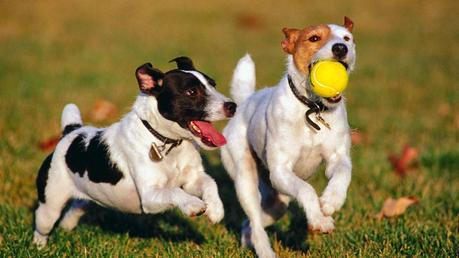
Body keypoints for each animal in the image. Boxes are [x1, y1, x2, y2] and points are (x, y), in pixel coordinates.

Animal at [33, 57, 237, 248]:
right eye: (192, 92)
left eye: (213, 84)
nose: (232, 106)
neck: (168, 143)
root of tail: (71, 131)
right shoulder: (150, 196)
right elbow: (174, 191)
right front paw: (193, 204)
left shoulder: (191, 180)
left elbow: (210, 183)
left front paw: (216, 209)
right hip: (50, 205)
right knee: (42, 225)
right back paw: (39, 246)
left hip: (86, 194)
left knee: (76, 206)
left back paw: (66, 226)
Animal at [221, 17, 358, 256]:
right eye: (314, 38)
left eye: (347, 38)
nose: (341, 48)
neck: (312, 109)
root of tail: (245, 101)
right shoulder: (281, 171)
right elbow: (307, 190)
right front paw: (319, 220)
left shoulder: (337, 157)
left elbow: (342, 174)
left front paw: (330, 202)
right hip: (246, 179)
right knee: (255, 220)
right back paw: (265, 251)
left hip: (277, 200)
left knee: (252, 223)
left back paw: (247, 240)